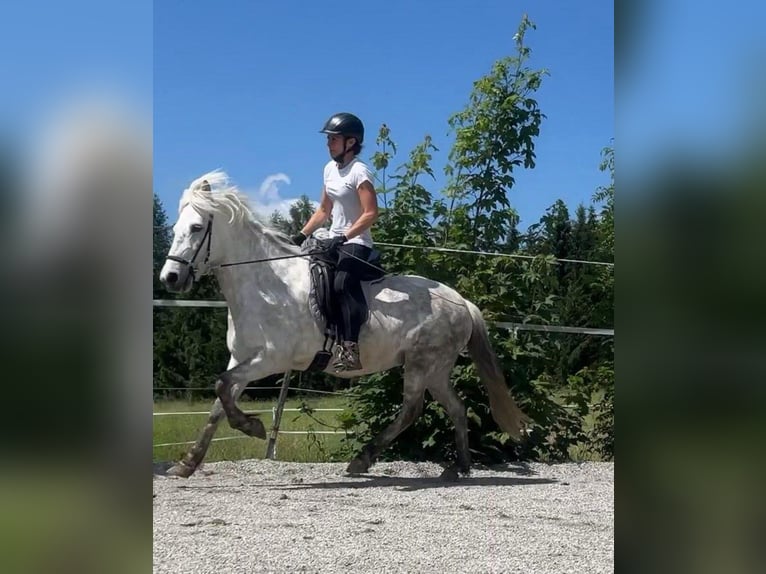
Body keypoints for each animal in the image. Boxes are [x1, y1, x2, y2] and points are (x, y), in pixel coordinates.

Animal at [159, 171, 532, 482]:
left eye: (196, 228)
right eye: (176, 228)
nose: (170, 277)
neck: (267, 284)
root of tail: (462, 302)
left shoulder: (270, 360)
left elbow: (222, 386)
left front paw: (252, 427)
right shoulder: (241, 359)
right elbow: (218, 402)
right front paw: (187, 463)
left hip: (423, 363)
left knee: (412, 410)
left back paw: (364, 460)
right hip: (436, 369)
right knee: (456, 407)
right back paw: (459, 468)